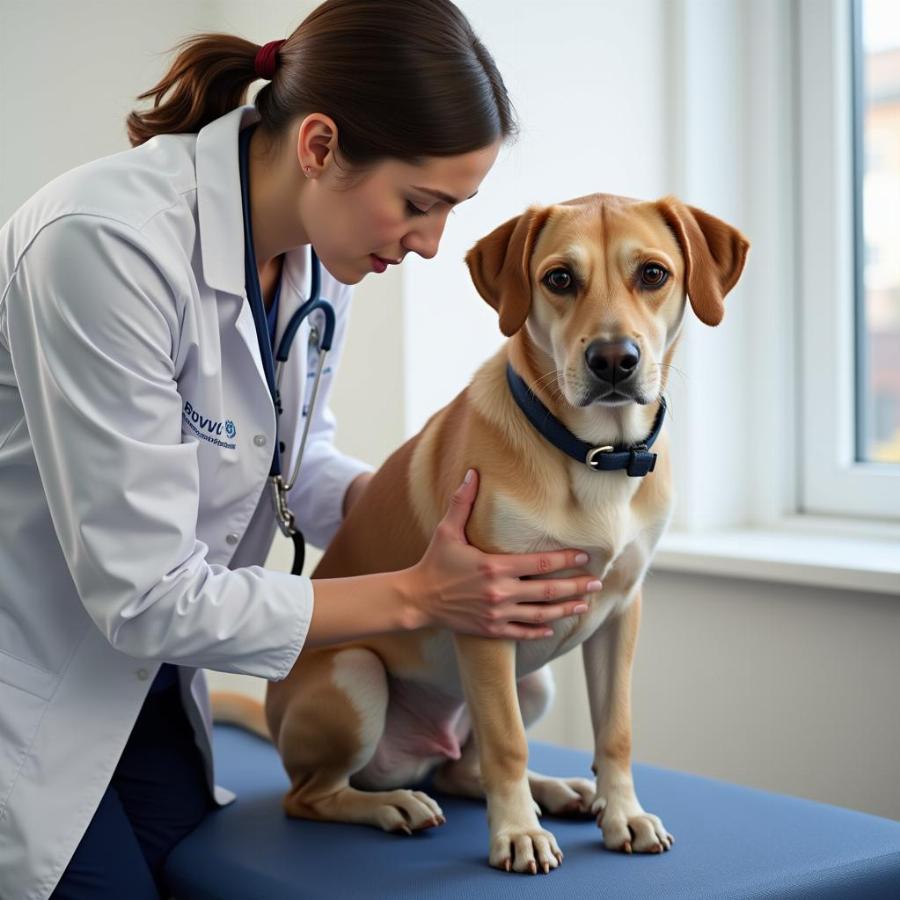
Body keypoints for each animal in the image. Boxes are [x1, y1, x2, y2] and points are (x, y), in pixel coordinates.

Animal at [216, 190, 744, 872]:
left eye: (653, 273)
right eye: (559, 279)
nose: (613, 360)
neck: (592, 455)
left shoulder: (622, 614)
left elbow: (616, 730)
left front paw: (622, 813)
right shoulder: (486, 620)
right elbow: (507, 743)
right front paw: (516, 834)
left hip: (535, 681)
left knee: (461, 770)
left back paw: (561, 790)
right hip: (356, 677)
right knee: (311, 795)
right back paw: (393, 806)